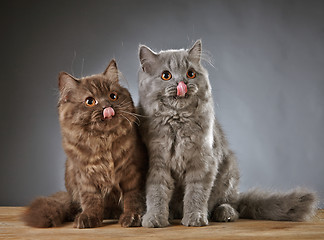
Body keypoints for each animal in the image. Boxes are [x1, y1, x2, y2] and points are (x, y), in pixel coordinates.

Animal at [23, 59, 148, 228]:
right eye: (90, 101)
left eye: (113, 96)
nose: (107, 106)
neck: (103, 141)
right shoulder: (86, 177)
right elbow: (91, 200)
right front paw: (88, 217)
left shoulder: (132, 173)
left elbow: (132, 197)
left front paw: (132, 217)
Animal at [137, 39, 316, 227]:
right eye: (166, 75)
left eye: (191, 73)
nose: (182, 84)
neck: (178, 122)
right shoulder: (157, 163)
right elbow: (157, 193)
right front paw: (154, 218)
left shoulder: (204, 162)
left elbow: (196, 193)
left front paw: (195, 218)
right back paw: (172, 214)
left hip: (229, 172)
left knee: (232, 205)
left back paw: (224, 213)